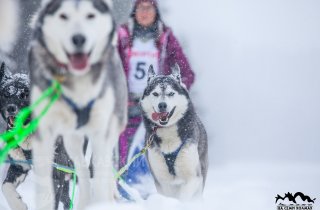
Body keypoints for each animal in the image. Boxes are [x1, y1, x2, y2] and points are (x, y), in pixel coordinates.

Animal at [28, 0, 126, 208]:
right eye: (63, 16)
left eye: (90, 15)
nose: (79, 39)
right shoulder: (44, 133)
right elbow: (46, 185)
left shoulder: (101, 131)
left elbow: (101, 173)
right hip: (71, 140)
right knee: (81, 168)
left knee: (104, 168)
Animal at [140, 65, 208, 199]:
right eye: (155, 93)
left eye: (171, 93)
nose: (162, 105)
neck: (168, 133)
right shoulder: (162, 181)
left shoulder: (193, 178)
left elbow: (183, 197)